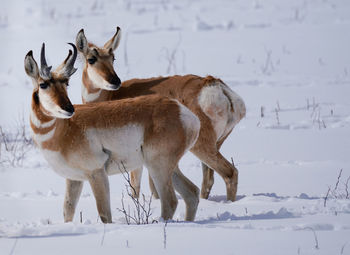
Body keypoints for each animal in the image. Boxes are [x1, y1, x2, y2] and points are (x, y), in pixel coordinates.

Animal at [24, 42, 200, 222]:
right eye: (43, 84)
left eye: (66, 83)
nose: (69, 108)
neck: (64, 129)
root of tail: (182, 111)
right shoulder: (74, 179)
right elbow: (68, 211)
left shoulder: (97, 173)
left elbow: (104, 214)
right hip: (167, 166)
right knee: (192, 193)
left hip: (158, 166)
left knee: (170, 201)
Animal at [76, 25, 246, 201]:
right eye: (91, 59)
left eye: (113, 58)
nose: (115, 81)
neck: (111, 96)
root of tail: (214, 84)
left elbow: (136, 187)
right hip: (215, 144)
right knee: (209, 180)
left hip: (202, 145)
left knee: (230, 172)